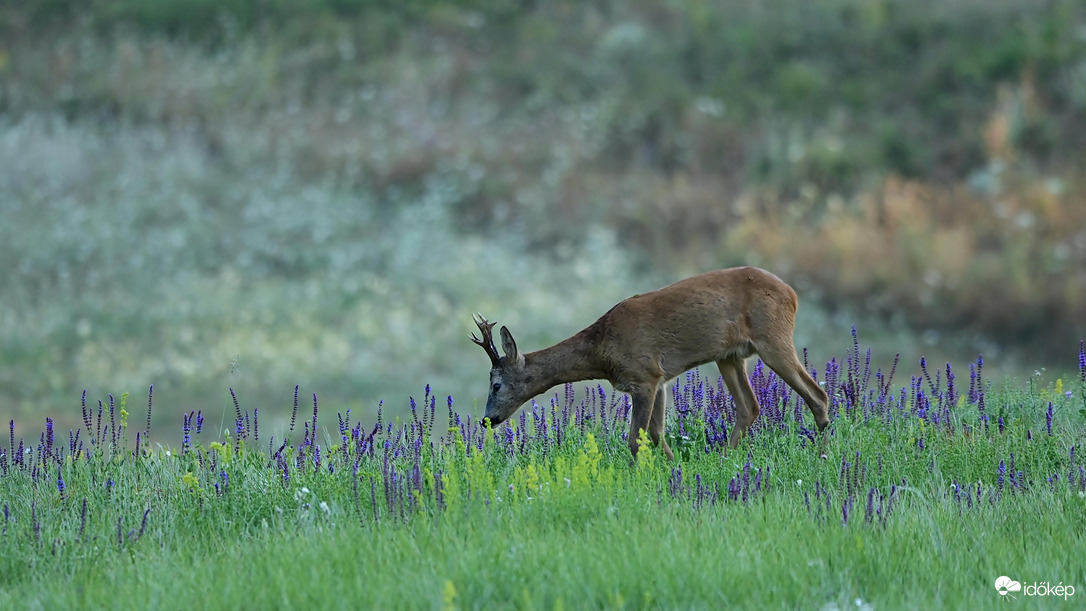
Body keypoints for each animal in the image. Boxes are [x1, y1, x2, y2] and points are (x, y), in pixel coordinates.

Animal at [469, 265, 829, 462]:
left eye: (496, 384)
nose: (487, 419)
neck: (602, 349)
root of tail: (792, 293)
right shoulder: (660, 379)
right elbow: (656, 433)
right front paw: (673, 468)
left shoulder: (644, 375)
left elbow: (634, 439)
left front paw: (640, 476)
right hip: (729, 356)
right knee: (750, 406)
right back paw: (725, 457)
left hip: (773, 338)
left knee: (817, 394)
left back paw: (824, 453)